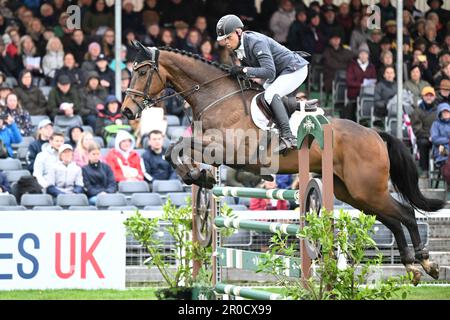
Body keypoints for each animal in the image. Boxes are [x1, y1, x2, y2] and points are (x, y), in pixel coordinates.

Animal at [122, 41, 442, 284]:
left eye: (142, 72)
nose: (125, 110)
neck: (216, 96)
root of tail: (375, 134)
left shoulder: (229, 149)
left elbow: (177, 147)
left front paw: (200, 176)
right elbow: (172, 150)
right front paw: (200, 177)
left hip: (367, 189)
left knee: (406, 214)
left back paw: (426, 263)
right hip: (353, 193)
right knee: (394, 219)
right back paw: (413, 266)